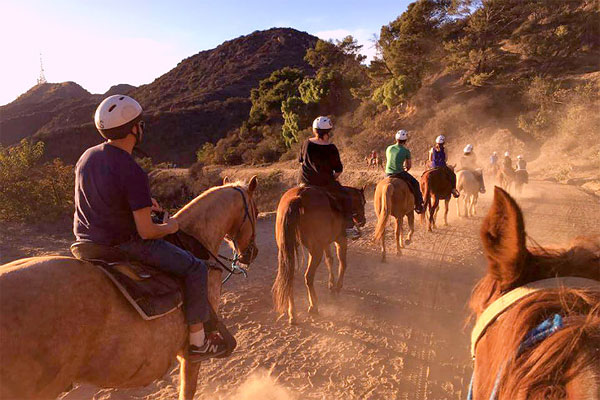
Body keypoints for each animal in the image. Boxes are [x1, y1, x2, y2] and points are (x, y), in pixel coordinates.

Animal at [272, 184, 366, 324]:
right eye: (363, 202)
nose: (363, 221)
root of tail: (298, 197)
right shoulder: (340, 239)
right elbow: (343, 263)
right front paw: (337, 287)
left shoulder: (325, 243)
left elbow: (329, 260)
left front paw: (331, 284)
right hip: (315, 251)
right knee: (308, 277)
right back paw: (313, 306)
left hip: (289, 251)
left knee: (289, 279)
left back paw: (292, 313)